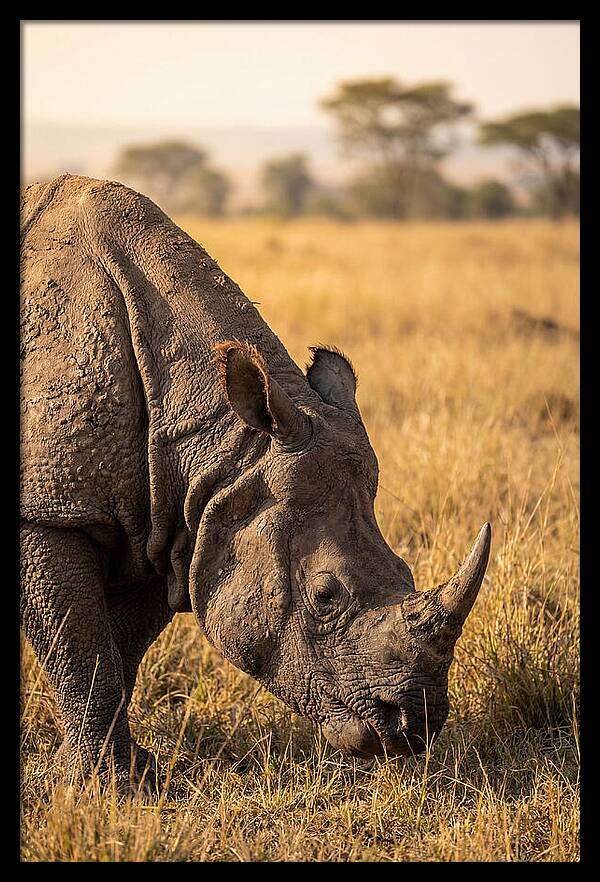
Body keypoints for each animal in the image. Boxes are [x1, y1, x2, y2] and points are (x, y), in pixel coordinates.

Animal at [20, 174, 491, 793]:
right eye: (324, 597)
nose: (414, 728)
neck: (221, 444)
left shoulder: (168, 522)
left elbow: (117, 653)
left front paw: (124, 777)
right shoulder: (51, 512)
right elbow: (85, 658)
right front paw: (110, 790)